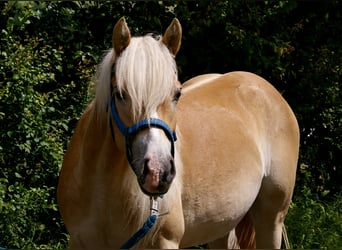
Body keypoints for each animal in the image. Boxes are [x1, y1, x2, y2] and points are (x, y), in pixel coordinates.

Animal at [58, 17, 300, 248]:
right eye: (120, 94)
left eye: (177, 94)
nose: (158, 173)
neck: (103, 191)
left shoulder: (165, 241)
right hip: (221, 226)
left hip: (271, 219)